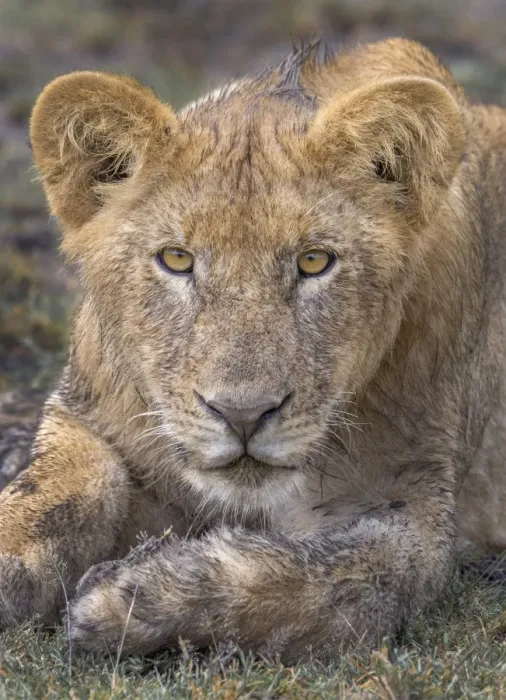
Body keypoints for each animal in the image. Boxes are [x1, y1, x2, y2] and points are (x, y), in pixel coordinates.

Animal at [0, 37, 505, 661]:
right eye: (177, 259)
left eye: (314, 261)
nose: (243, 415)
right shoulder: (85, 416)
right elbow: (58, 487)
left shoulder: (415, 511)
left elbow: (331, 581)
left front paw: (130, 596)